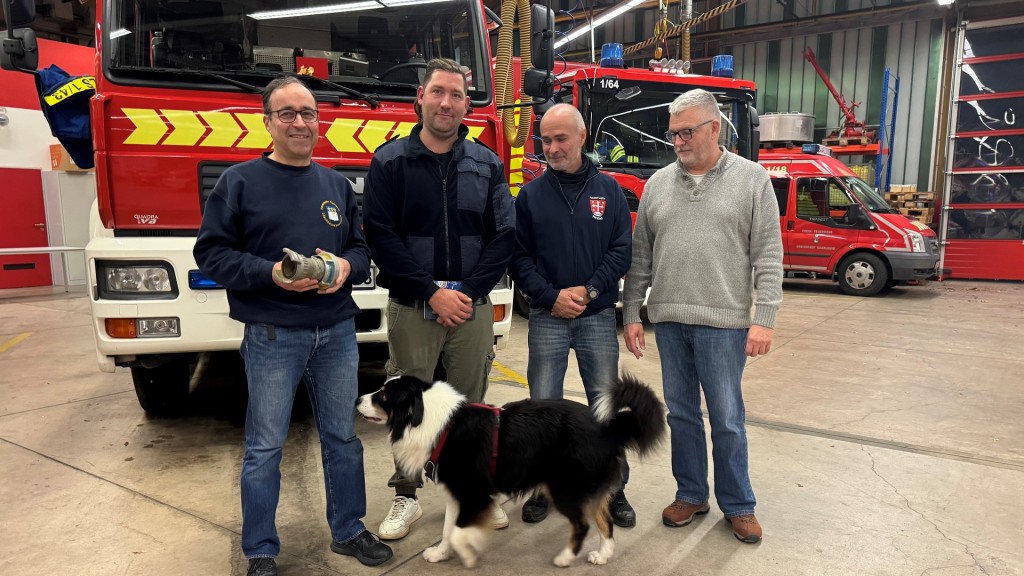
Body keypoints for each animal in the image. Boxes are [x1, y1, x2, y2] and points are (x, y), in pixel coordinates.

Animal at [358, 373, 663, 565]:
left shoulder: (472, 493)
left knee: (583, 525)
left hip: (566, 489)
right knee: (605, 523)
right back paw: (603, 556)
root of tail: (608, 428)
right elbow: (447, 530)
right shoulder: (458, 494)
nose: (357, 399)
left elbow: (456, 531)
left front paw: (467, 552)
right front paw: (440, 554)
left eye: (383, 394)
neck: (436, 423)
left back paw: (565, 558)